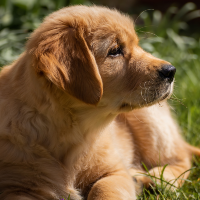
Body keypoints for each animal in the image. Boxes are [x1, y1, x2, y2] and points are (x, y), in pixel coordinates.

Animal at [0, 4, 200, 200]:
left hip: (151, 121)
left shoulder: (115, 172)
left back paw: (159, 178)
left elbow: (103, 190)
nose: (171, 71)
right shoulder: (14, 185)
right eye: (115, 51)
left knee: (181, 158)